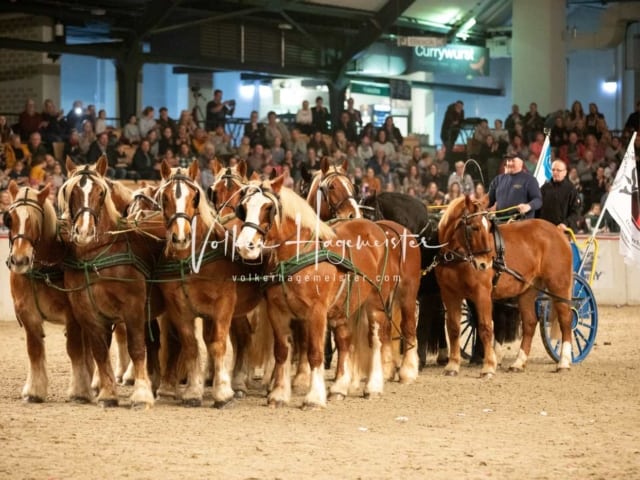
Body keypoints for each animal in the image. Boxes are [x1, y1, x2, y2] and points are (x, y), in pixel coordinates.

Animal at [5, 182, 94, 404]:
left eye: (35, 221)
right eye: (10, 219)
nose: (19, 260)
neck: (42, 269)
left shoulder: (72, 316)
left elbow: (74, 350)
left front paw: (79, 391)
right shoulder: (28, 315)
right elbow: (34, 350)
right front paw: (34, 392)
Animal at [57, 158, 164, 404]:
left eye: (100, 192)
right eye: (71, 191)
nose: (84, 231)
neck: (97, 256)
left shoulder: (134, 308)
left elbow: (136, 347)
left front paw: (141, 393)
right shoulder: (88, 311)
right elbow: (99, 350)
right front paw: (107, 392)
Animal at [234, 174, 420, 406]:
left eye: (268, 208)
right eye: (243, 207)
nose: (244, 246)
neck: (298, 253)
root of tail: (379, 230)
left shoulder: (316, 312)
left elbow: (315, 352)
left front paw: (313, 397)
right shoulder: (277, 311)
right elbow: (282, 352)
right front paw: (279, 394)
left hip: (381, 301)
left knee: (379, 338)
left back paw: (377, 384)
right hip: (345, 307)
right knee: (345, 340)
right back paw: (340, 387)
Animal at [436, 197, 576, 376]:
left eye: (488, 227)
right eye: (474, 227)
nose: (485, 264)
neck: (457, 257)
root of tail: (557, 231)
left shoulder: (482, 294)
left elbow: (485, 327)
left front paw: (489, 366)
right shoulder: (449, 294)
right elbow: (453, 328)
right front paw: (452, 366)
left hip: (559, 286)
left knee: (566, 320)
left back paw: (563, 362)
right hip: (528, 290)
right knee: (530, 323)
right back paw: (519, 363)